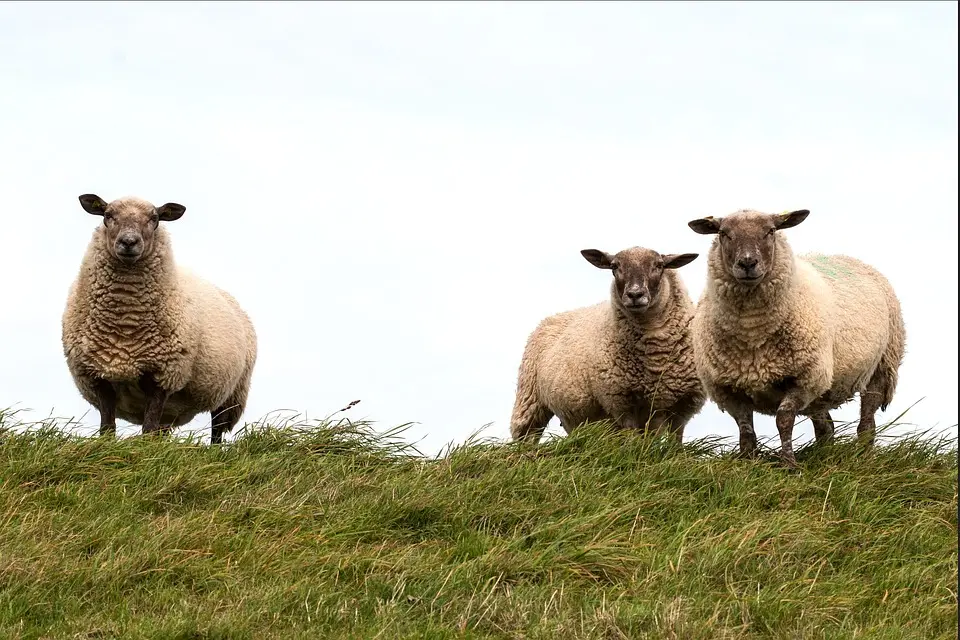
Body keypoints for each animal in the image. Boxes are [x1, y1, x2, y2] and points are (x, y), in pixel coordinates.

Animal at [63, 194, 258, 444]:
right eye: (107, 215)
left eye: (154, 218)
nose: (129, 242)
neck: (125, 327)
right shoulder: (99, 377)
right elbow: (107, 429)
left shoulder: (162, 376)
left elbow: (148, 429)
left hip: (232, 394)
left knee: (217, 430)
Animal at [510, 246, 704, 444]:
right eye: (614, 266)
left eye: (659, 265)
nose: (635, 294)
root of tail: (552, 317)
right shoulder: (621, 402)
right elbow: (633, 441)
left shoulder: (683, 406)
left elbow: (675, 443)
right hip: (529, 402)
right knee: (526, 437)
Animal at [688, 209, 904, 464]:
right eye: (723, 233)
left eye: (771, 231)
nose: (748, 263)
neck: (752, 333)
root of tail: (854, 260)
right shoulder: (727, 388)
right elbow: (746, 429)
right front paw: (747, 461)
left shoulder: (804, 377)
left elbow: (784, 420)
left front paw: (789, 464)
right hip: (824, 388)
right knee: (826, 427)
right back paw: (824, 456)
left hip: (881, 367)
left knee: (867, 422)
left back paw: (864, 457)